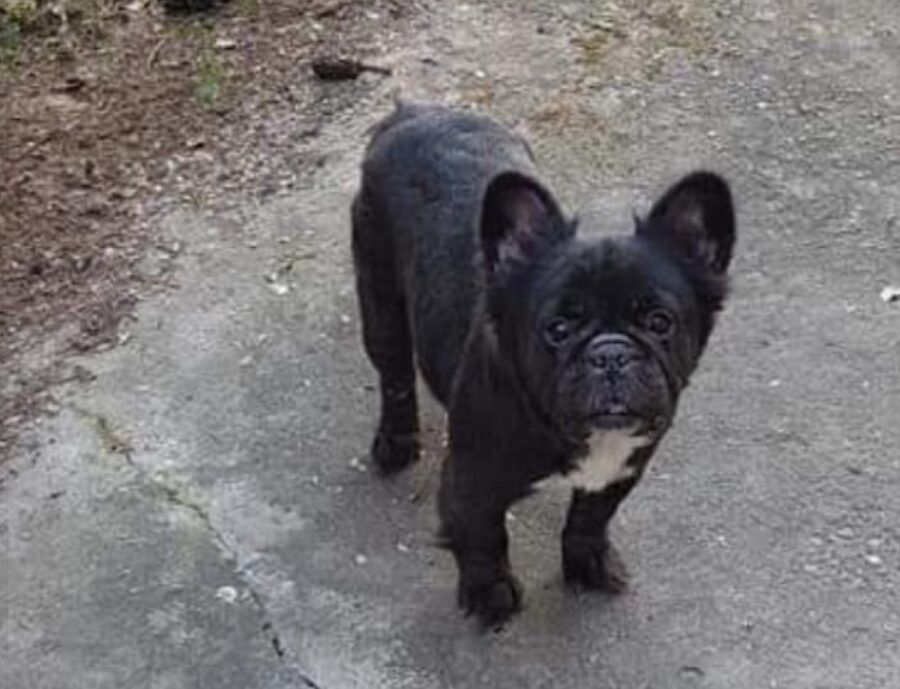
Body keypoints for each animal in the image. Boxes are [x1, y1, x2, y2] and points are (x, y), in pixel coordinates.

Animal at [348, 101, 736, 624]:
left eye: (659, 322)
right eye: (558, 328)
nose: (610, 352)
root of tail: (409, 113)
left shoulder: (620, 468)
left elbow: (590, 517)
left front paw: (587, 562)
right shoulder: (473, 482)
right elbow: (483, 538)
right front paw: (490, 594)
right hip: (380, 297)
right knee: (394, 374)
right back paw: (396, 443)